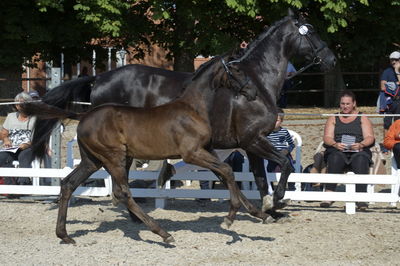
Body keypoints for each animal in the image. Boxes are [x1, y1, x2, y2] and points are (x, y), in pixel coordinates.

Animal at [32, 10, 336, 213]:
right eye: (311, 30)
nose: (331, 58)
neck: (255, 81)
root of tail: (99, 78)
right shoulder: (253, 139)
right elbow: (284, 164)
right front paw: (278, 199)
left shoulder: (250, 143)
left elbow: (261, 177)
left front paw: (268, 207)